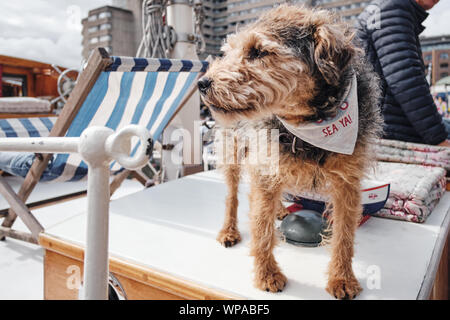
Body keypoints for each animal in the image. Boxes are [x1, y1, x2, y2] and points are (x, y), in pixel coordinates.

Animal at [199, 5, 382, 300]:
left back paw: (280, 210)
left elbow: (344, 235)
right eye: (228, 52)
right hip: (233, 153)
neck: (308, 122)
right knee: (232, 196)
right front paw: (267, 275)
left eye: (258, 51)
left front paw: (342, 278)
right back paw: (229, 230)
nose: (203, 83)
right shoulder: (264, 168)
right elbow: (262, 230)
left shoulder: (348, 184)